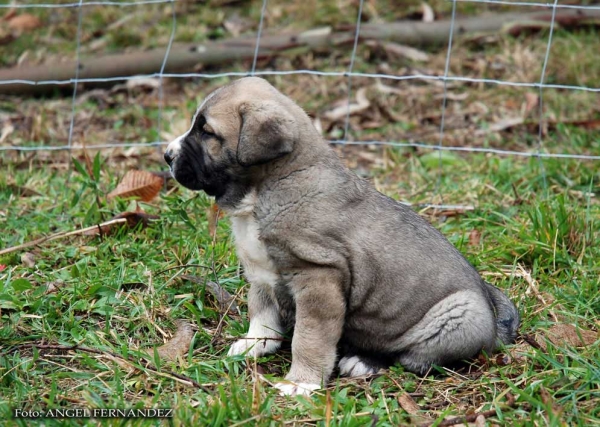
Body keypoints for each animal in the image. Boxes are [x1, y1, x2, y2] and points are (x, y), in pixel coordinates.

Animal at [165, 77, 520, 398]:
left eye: (207, 132)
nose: (167, 155)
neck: (267, 188)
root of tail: (495, 320)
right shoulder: (262, 274)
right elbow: (262, 313)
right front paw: (255, 345)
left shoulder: (318, 278)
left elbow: (308, 338)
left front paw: (301, 382)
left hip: (458, 313)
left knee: (411, 357)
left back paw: (364, 361)